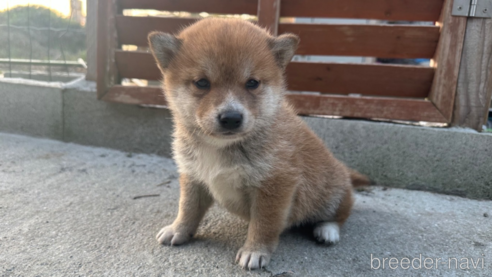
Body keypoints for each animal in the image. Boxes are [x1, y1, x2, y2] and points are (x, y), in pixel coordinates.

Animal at [149, 17, 368, 270]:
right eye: (202, 83)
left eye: (252, 83)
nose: (231, 117)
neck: (220, 147)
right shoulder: (194, 176)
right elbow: (187, 208)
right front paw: (178, 230)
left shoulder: (275, 184)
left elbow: (264, 223)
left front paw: (255, 250)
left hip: (331, 195)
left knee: (341, 213)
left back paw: (327, 230)